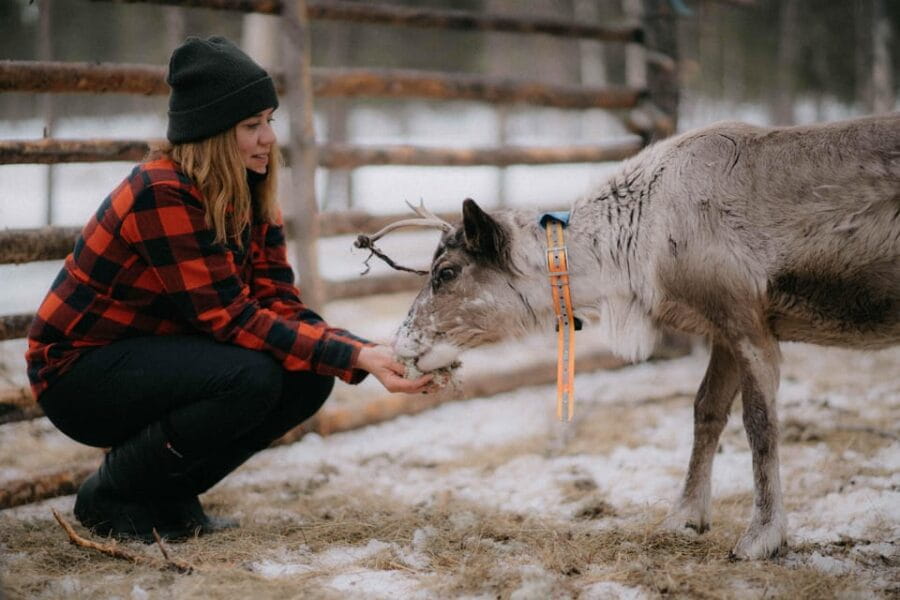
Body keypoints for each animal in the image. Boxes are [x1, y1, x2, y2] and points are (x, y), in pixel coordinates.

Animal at [357, 113, 900, 560]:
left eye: (445, 273)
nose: (399, 344)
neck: (634, 253)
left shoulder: (748, 320)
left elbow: (760, 425)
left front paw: (763, 537)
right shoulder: (724, 330)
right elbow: (705, 411)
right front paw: (684, 517)